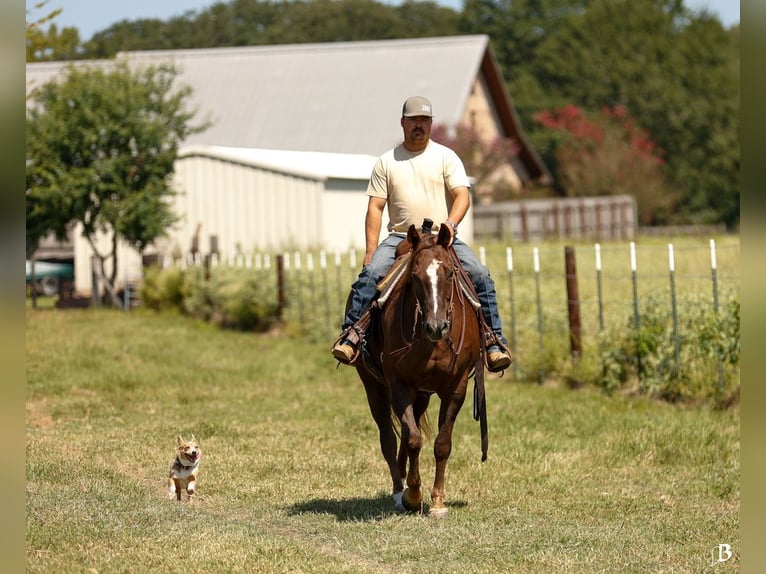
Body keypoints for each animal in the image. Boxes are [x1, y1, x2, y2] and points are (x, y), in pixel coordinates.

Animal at [354, 221, 487, 517]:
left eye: (449, 273)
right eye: (414, 276)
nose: (436, 327)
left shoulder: (456, 387)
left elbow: (441, 444)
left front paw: (437, 501)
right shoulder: (399, 385)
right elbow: (414, 439)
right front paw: (413, 496)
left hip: (422, 395)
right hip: (374, 387)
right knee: (389, 438)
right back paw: (397, 491)